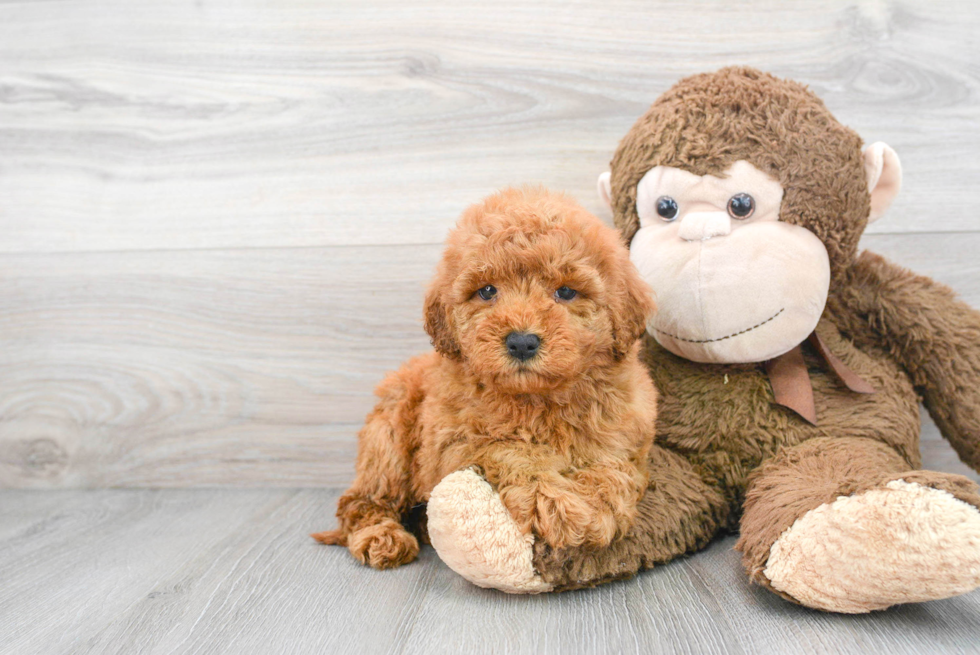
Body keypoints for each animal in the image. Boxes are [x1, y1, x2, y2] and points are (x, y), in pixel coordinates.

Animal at [314, 188, 660, 568]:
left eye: (566, 292)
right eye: (488, 291)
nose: (521, 342)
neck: (536, 400)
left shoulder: (623, 435)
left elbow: (612, 468)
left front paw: (596, 507)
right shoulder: (453, 442)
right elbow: (508, 450)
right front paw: (555, 503)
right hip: (388, 437)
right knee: (361, 501)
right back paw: (382, 536)